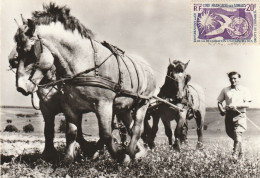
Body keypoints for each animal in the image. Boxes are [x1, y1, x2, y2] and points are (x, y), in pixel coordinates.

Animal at [12, 3, 155, 162]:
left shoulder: (104, 105)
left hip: (143, 102)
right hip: (123, 107)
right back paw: (139, 152)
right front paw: (68, 159)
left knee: (137, 129)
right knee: (129, 126)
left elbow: (106, 134)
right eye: (18, 51)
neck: (83, 62)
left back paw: (130, 153)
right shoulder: (69, 107)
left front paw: (119, 156)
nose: (21, 87)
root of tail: (148, 66)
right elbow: (71, 133)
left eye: (30, 52)